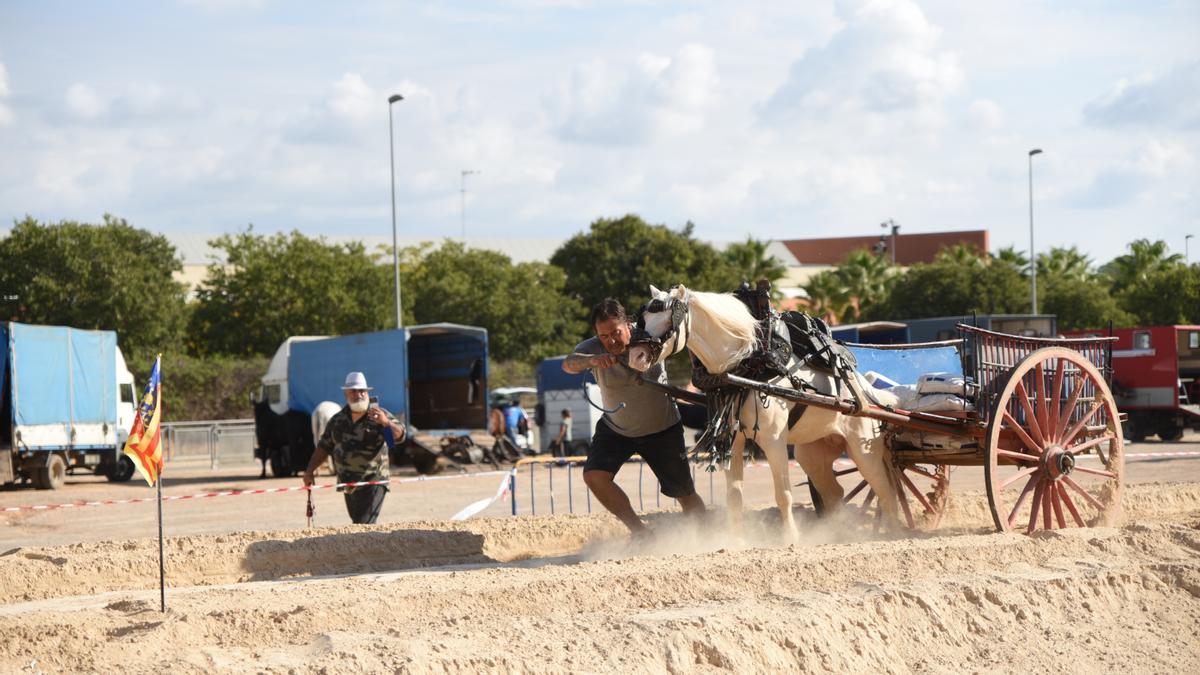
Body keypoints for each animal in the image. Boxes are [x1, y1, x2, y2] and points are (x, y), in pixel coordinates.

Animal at [628, 281, 902, 538]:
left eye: (668, 319)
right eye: (643, 318)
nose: (636, 357)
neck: (748, 363)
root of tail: (869, 393)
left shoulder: (774, 440)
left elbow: (783, 494)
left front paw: (791, 539)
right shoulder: (735, 440)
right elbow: (734, 496)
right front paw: (736, 542)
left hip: (863, 448)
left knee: (885, 490)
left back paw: (893, 532)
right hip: (814, 452)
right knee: (836, 493)